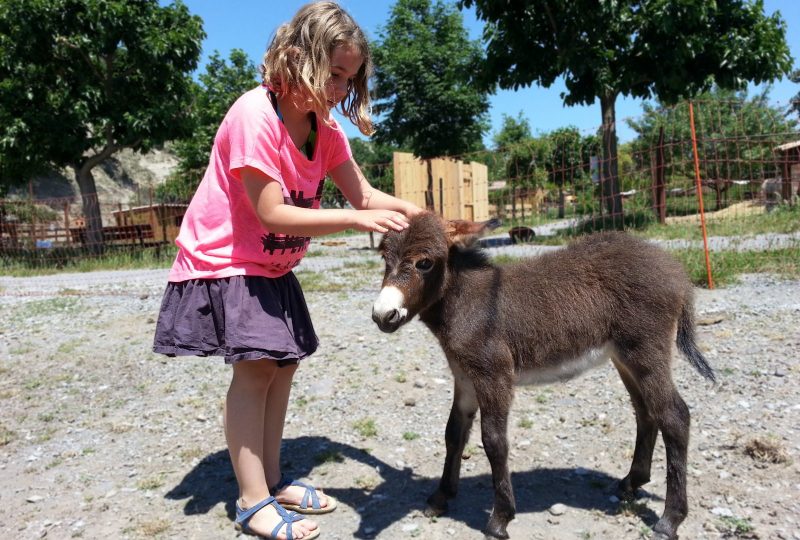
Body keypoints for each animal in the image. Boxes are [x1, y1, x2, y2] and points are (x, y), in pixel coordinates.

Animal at [372, 213, 716, 536]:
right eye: (384, 258)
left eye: (425, 262)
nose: (382, 316)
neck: (466, 302)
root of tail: (675, 270)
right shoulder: (465, 379)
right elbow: (453, 435)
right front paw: (440, 497)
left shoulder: (494, 377)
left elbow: (494, 441)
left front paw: (500, 519)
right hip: (625, 358)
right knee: (646, 412)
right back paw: (631, 482)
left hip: (646, 352)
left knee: (674, 416)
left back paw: (670, 519)